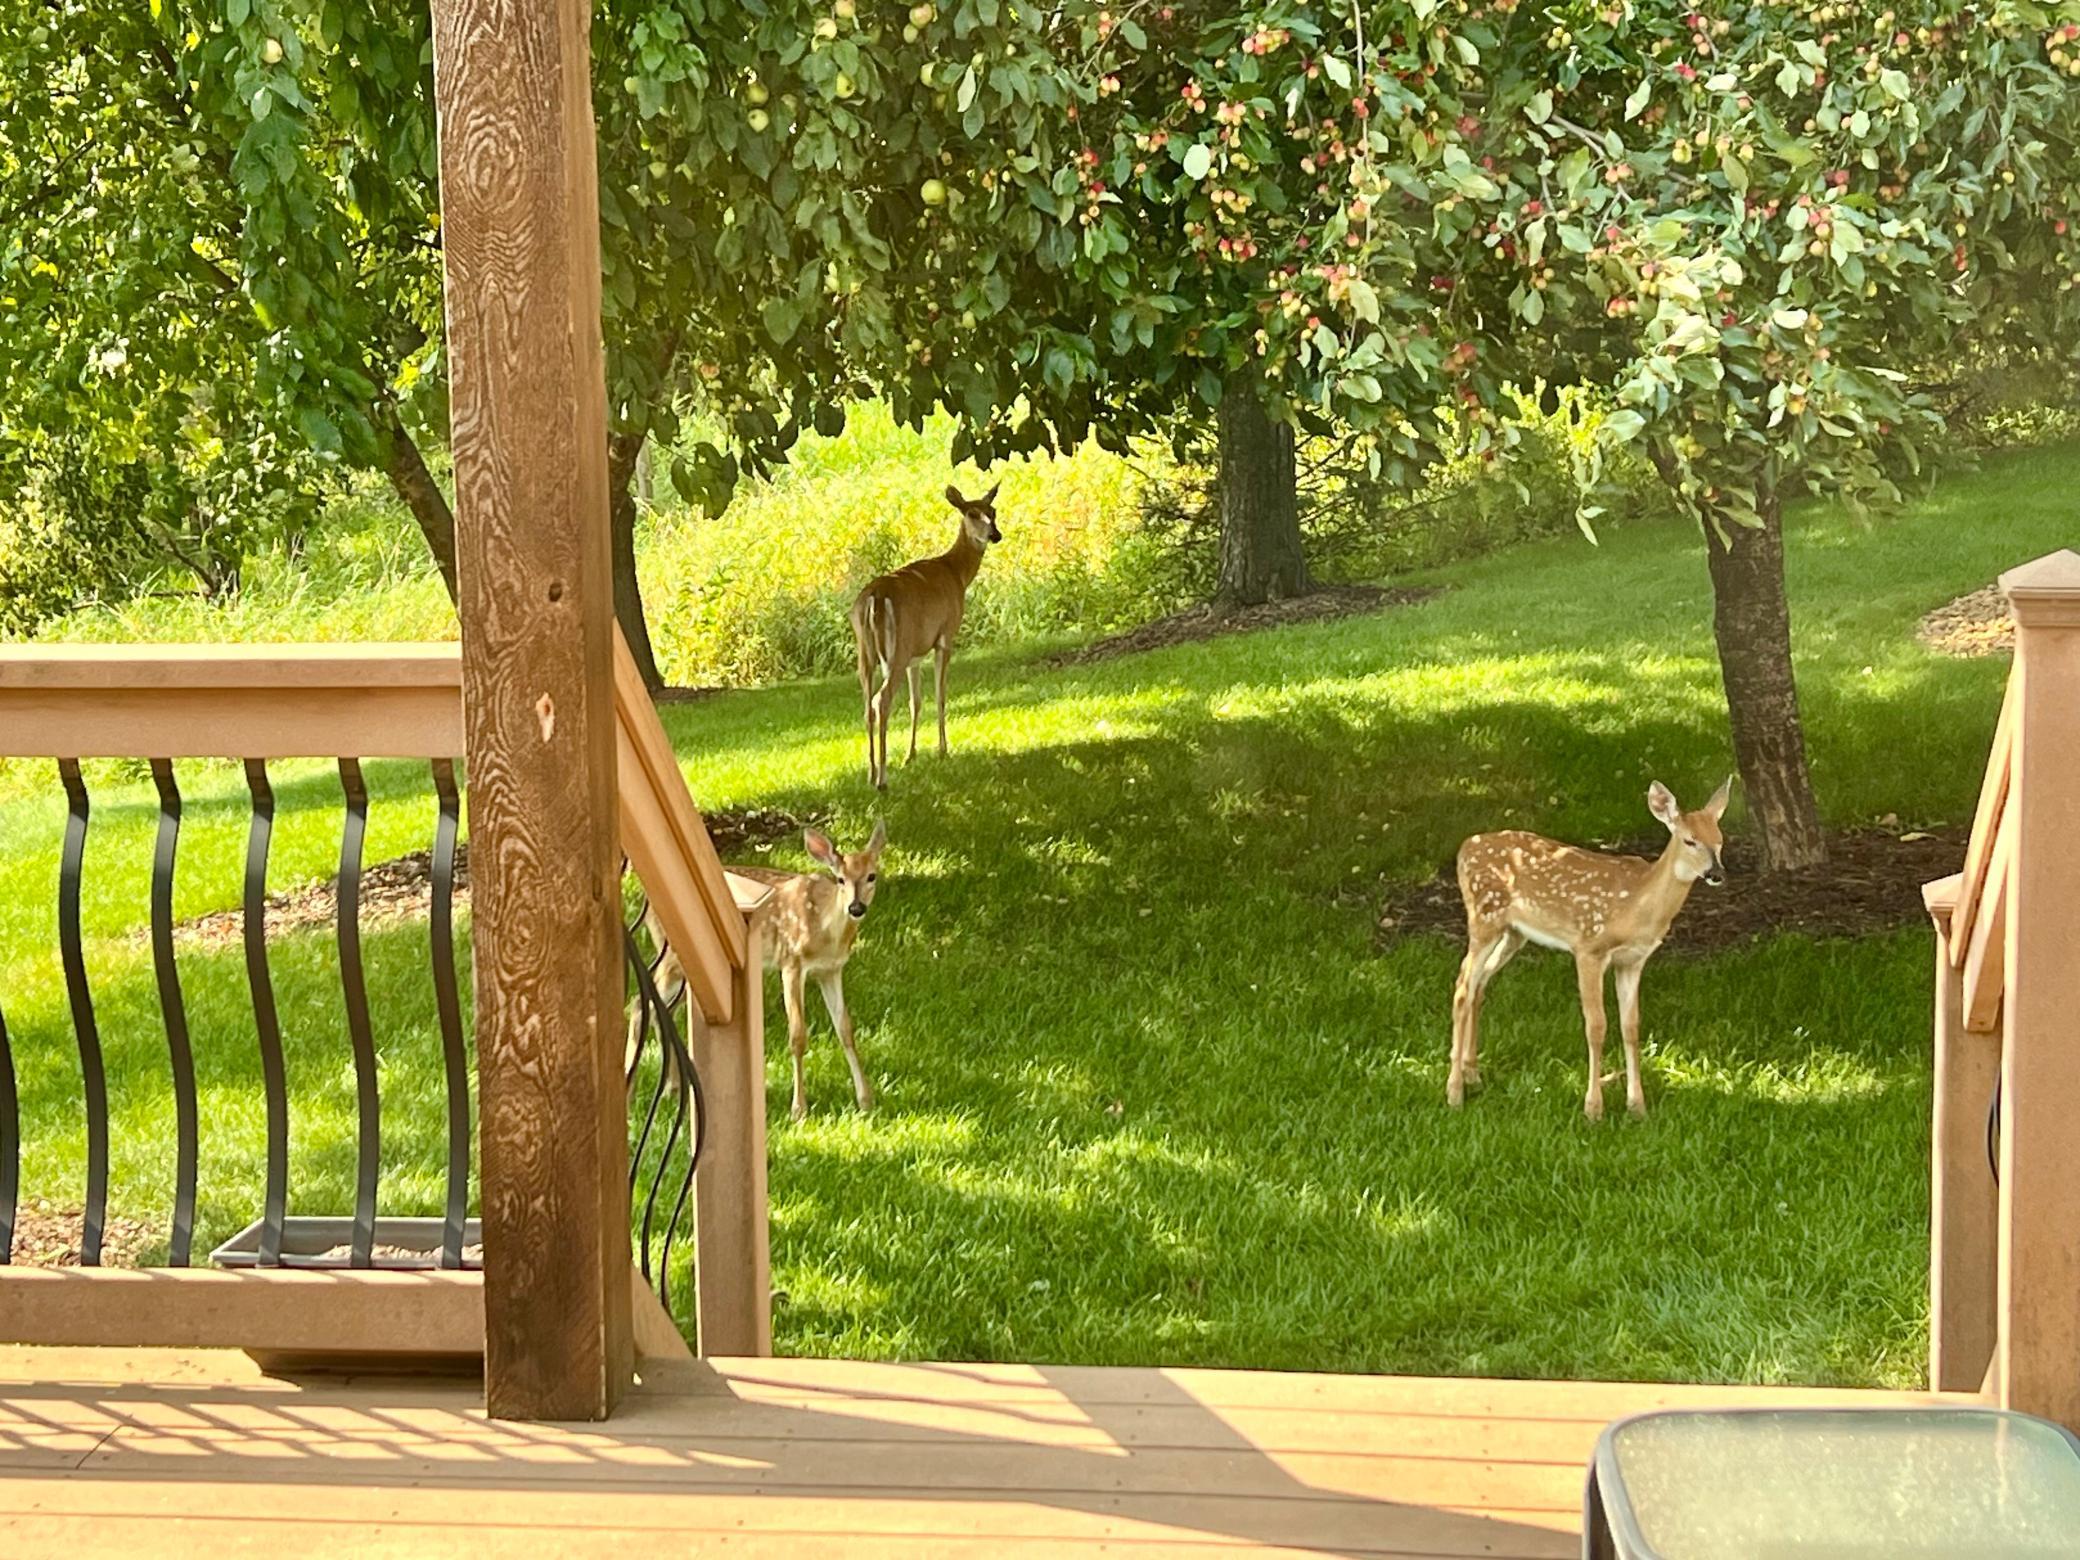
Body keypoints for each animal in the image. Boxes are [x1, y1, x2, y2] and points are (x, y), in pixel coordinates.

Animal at [628, 822, 886, 1121]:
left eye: (871, 876)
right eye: (841, 879)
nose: (856, 908)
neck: (826, 931)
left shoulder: (831, 970)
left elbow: (845, 1029)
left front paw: (865, 1100)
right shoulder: (791, 961)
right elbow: (797, 1035)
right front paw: (799, 1109)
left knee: (660, 1009)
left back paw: (671, 1088)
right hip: (673, 958)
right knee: (639, 1005)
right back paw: (632, 1094)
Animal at [851, 483, 1002, 789]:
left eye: (993, 511)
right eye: (972, 512)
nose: (995, 535)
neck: (956, 574)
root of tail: (875, 598)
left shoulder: (915, 655)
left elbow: (916, 702)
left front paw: (911, 755)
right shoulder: (944, 637)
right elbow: (940, 695)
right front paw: (943, 750)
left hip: (867, 653)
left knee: (867, 704)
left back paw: (870, 772)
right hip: (896, 649)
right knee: (881, 700)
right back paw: (882, 779)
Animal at [1447, 778, 1732, 1122]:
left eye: (1720, 841)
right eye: (1690, 841)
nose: (1717, 874)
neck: (1637, 905)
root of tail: (1464, 848)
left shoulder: (1633, 960)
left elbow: (1631, 1027)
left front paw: (1637, 1107)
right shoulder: (1588, 947)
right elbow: (1597, 1026)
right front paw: (1593, 1109)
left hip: (1514, 933)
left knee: (1478, 984)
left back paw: (1472, 1074)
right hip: (1483, 917)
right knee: (1462, 987)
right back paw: (1454, 1093)